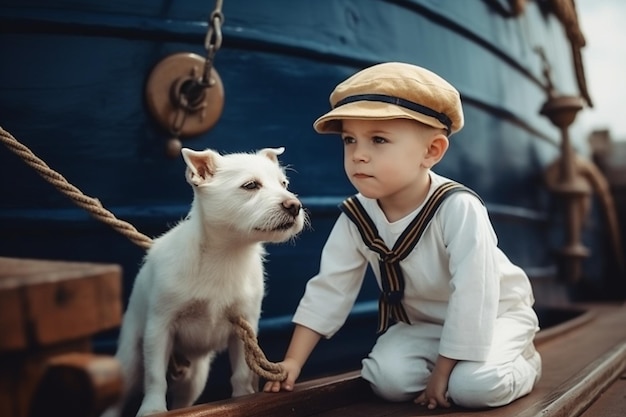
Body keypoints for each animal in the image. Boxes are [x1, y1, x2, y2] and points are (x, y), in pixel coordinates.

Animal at [102, 146, 304, 416]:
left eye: (284, 184)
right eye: (250, 185)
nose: (295, 205)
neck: (226, 255)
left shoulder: (244, 328)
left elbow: (242, 372)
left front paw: (245, 398)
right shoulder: (159, 327)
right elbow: (155, 376)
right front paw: (152, 408)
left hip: (195, 377)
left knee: (183, 402)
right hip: (131, 357)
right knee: (118, 397)